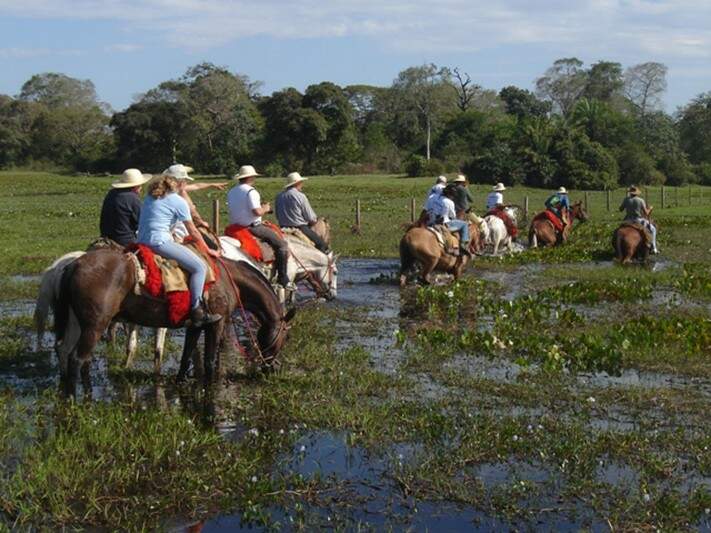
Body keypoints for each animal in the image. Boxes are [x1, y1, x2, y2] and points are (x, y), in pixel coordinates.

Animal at [52, 249, 292, 394]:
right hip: (94, 326)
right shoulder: (216, 323)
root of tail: (74, 265)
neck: (228, 280)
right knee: (77, 358)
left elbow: (186, 357)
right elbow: (209, 361)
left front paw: (181, 382)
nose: (273, 368)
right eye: (285, 335)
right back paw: (79, 400)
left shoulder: (196, 326)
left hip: (77, 325)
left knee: (70, 353)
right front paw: (209, 389)